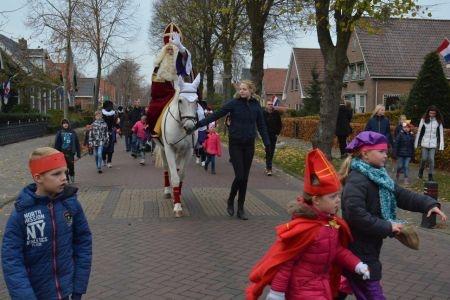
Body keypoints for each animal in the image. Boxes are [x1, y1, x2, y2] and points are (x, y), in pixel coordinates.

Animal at [155, 74, 199, 217]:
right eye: (180, 101)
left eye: (197, 101)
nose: (189, 127)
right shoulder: (169, 149)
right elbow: (174, 176)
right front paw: (177, 207)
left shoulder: (188, 151)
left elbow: (181, 175)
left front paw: (178, 198)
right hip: (163, 150)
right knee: (166, 168)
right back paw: (168, 191)